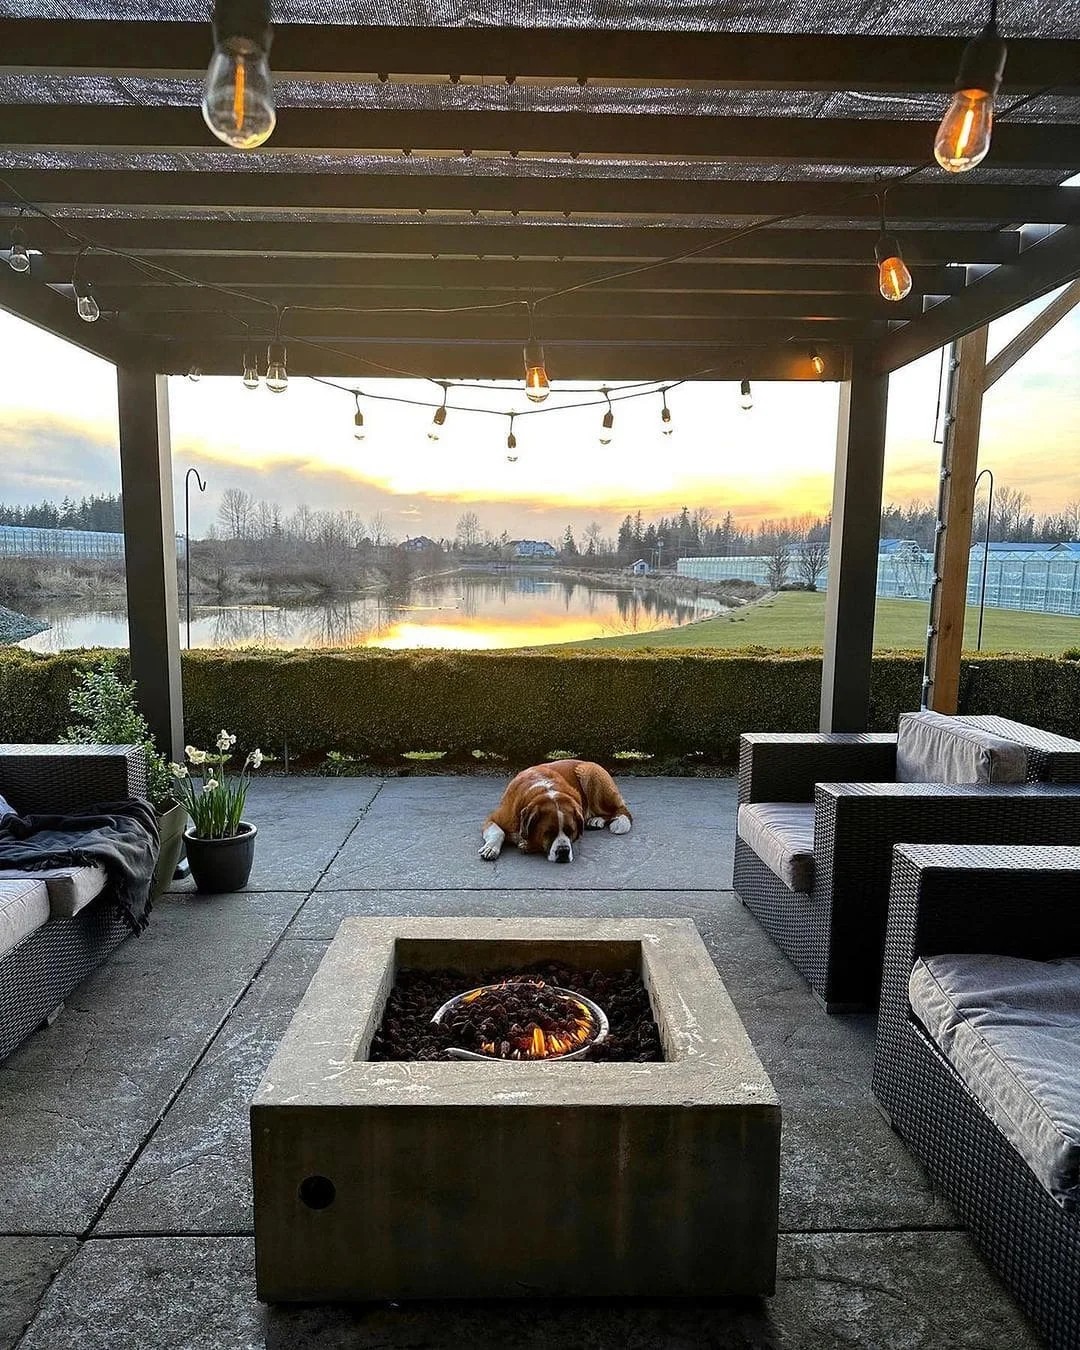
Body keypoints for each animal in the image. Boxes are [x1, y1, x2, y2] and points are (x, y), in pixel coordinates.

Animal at [480, 761, 631, 864]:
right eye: (549, 832)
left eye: (571, 831)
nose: (563, 851)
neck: (544, 791)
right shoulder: (492, 819)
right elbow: (499, 832)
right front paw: (491, 848)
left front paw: (526, 844)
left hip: (589, 772)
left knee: (617, 809)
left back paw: (597, 819)